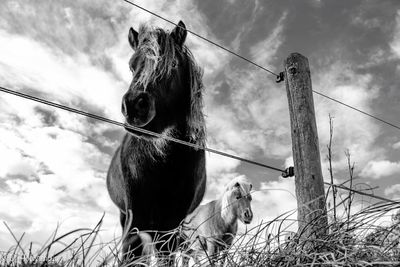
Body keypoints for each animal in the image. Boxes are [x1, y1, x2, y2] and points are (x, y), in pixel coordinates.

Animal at [106, 21, 206, 264]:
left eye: (173, 65)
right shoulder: (134, 217)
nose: (134, 106)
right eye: (131, 66)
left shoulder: (171, 222)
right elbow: (130, 256)